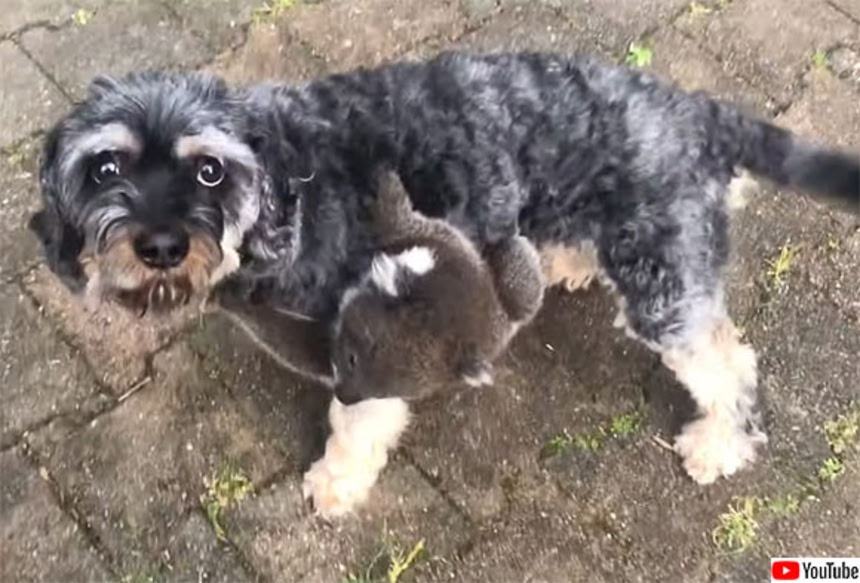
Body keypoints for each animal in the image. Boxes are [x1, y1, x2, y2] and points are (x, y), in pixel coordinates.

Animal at [31, 51, 859, 517]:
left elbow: (357, 420)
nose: (160, 245)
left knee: (728, 359)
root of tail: (694, 109)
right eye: (106, 166)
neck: (288, 181)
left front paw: (335, 483)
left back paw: (719, 442)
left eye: (209, 169)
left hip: (665, 287)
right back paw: (567, 260)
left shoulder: (375, 336)